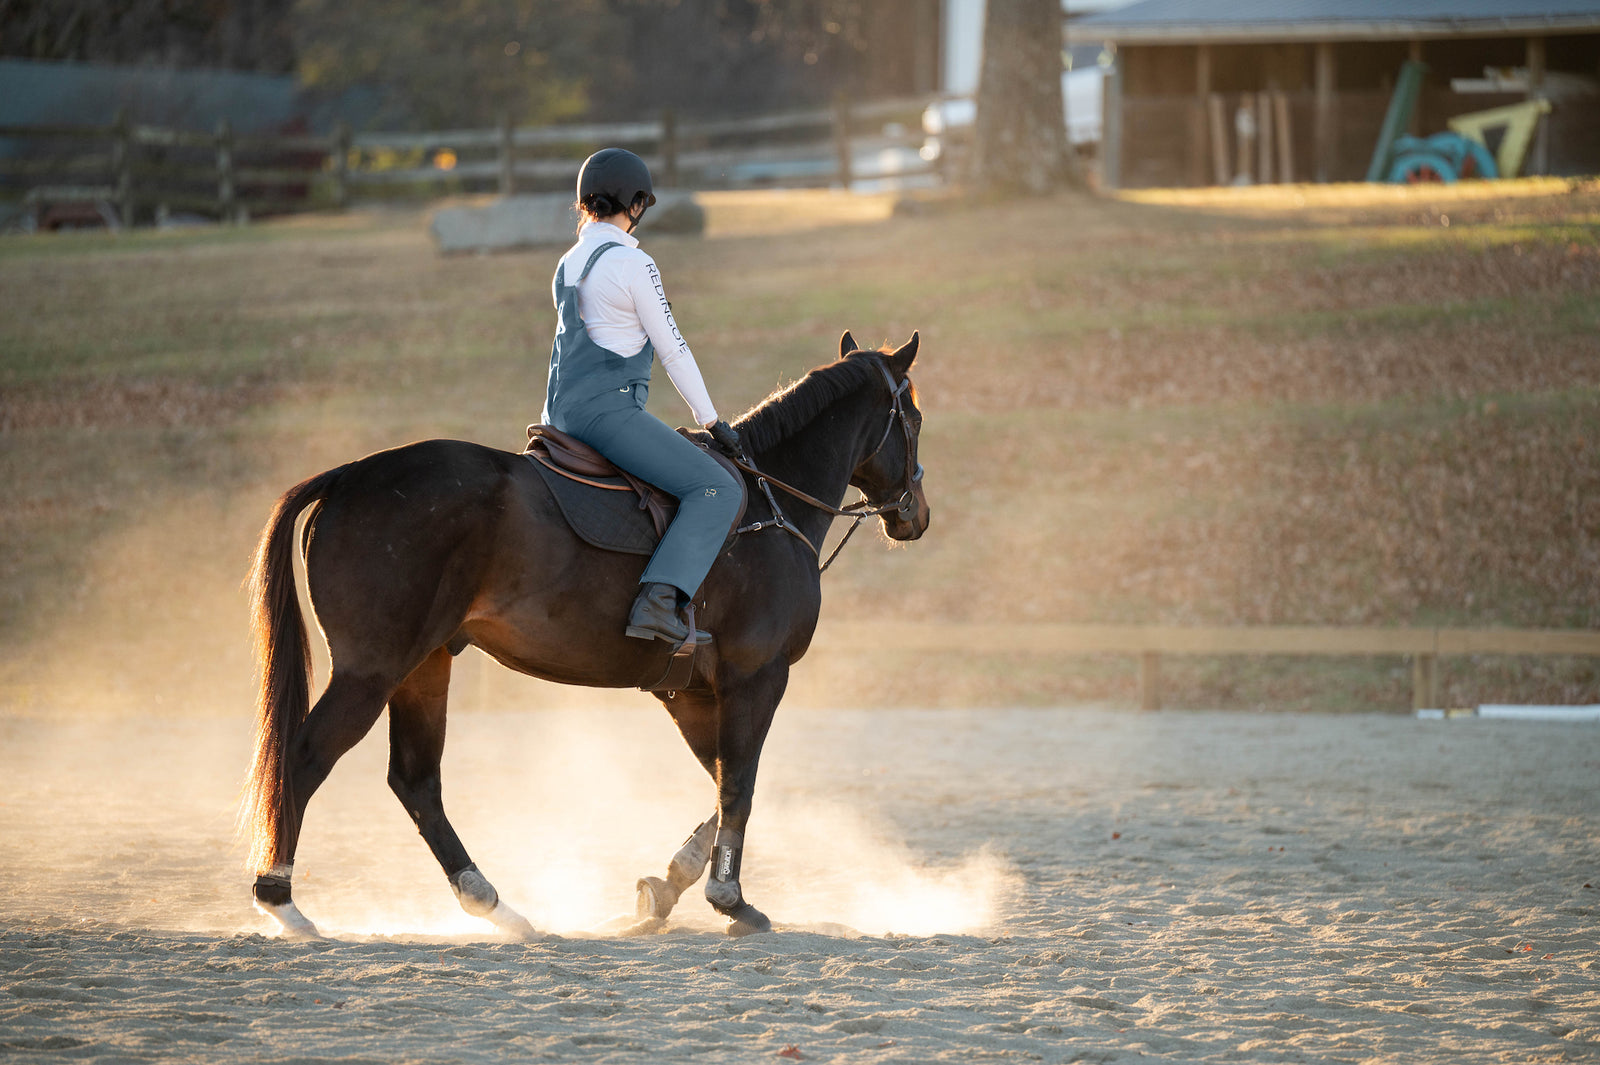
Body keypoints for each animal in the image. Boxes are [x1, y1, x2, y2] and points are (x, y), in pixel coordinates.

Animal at [243, 329, 934, 940]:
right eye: (916, 419)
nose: (916, 516)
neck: (770, 505)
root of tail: (349, 474)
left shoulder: (691, 692)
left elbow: (720, 785)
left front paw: (666, 887)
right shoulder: (755, 677)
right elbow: (739, 784)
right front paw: (730, 899)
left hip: (423, 666)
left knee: (416, 782)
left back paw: (496, 906)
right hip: (373, 669)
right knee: (305, 758)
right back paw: (281, 901)